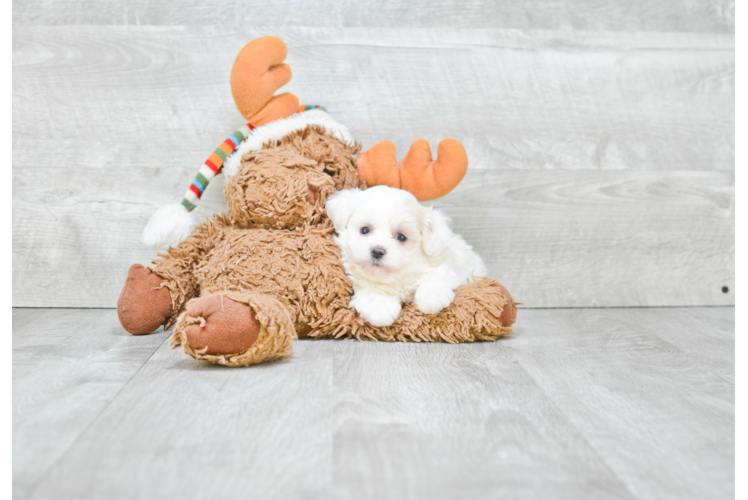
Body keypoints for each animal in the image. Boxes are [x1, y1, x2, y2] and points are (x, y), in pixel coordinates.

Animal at [326, 186, 486, 326]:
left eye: (401, 237)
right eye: (365, 230)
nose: (377, 251)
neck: (394, 275)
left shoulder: (447, 268)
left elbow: (436, 278)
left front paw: (432, 299)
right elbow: (371, 291)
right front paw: (379, 308)